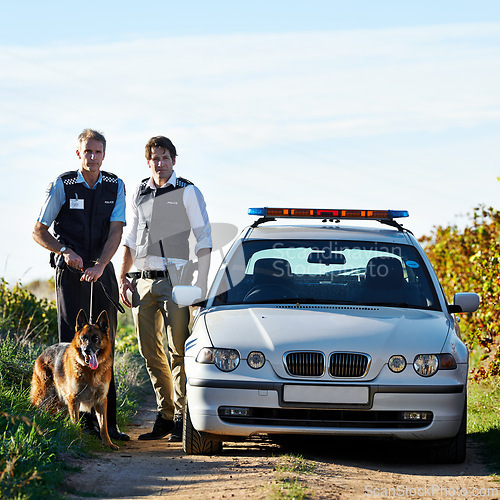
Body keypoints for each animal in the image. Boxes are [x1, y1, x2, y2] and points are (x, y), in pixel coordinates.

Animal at [30, 308, 118, 450]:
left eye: (95, 338)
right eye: (83, 338)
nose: (87, 351)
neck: (90, 372)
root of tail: (43, 352)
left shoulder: (101, 401)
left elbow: (103, 426)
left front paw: (108, 443)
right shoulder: (74, 399)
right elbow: (76, 423)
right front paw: (78, 440)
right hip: (45, 395)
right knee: (38, 408)